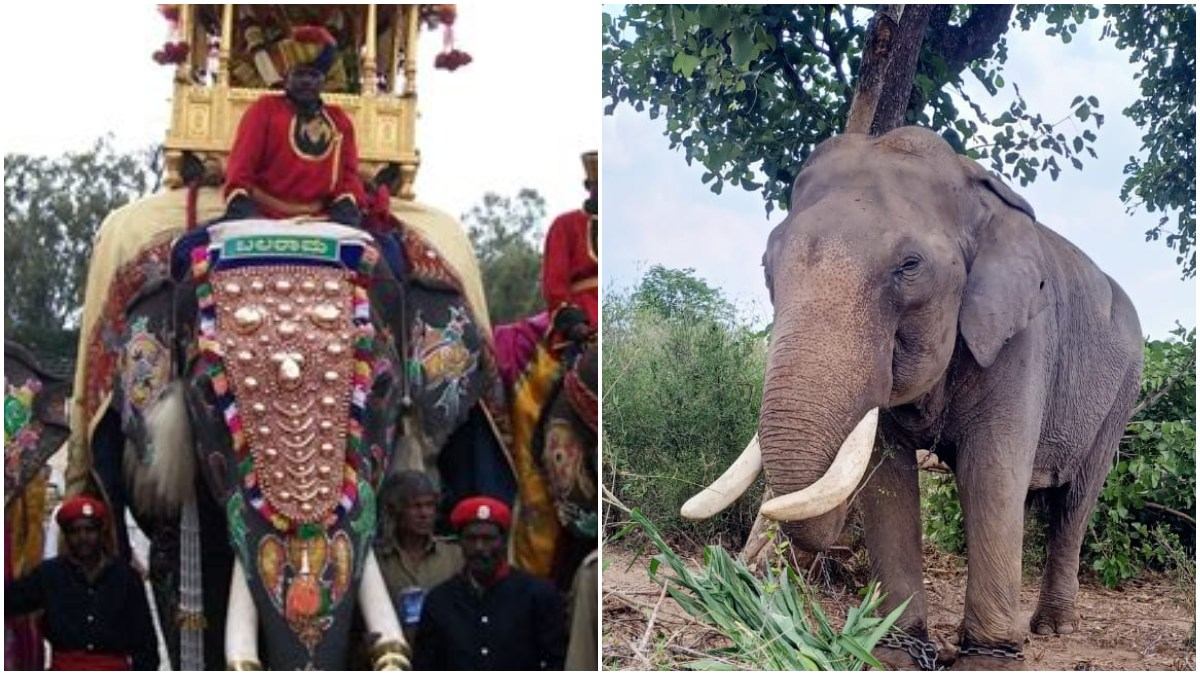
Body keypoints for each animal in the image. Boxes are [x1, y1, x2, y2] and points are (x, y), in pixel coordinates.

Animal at [681, 127, 1143, 670]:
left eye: (909, 266)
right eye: (766, 266)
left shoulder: (1023, 338)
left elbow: (990, 471)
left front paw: (988, 660)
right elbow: (886, 476)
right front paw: (895, 653)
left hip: (1122, 392)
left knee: (1075, 500)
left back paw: (1051, 628)